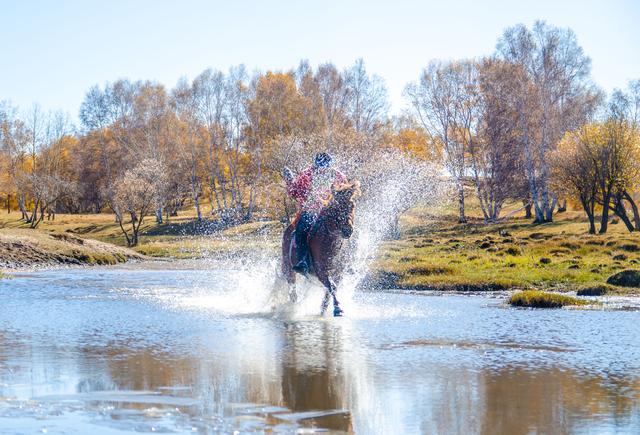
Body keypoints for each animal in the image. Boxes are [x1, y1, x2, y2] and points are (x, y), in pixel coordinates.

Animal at [282, 181, 360, 316]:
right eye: (336, 207)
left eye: (352, 205)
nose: (347, 230)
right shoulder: (320, 271)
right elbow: (331, 286)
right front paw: (338, 308)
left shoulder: (338, 272)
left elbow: (331, 290)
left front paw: (325, 309)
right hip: (288, 269)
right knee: (293, 292)